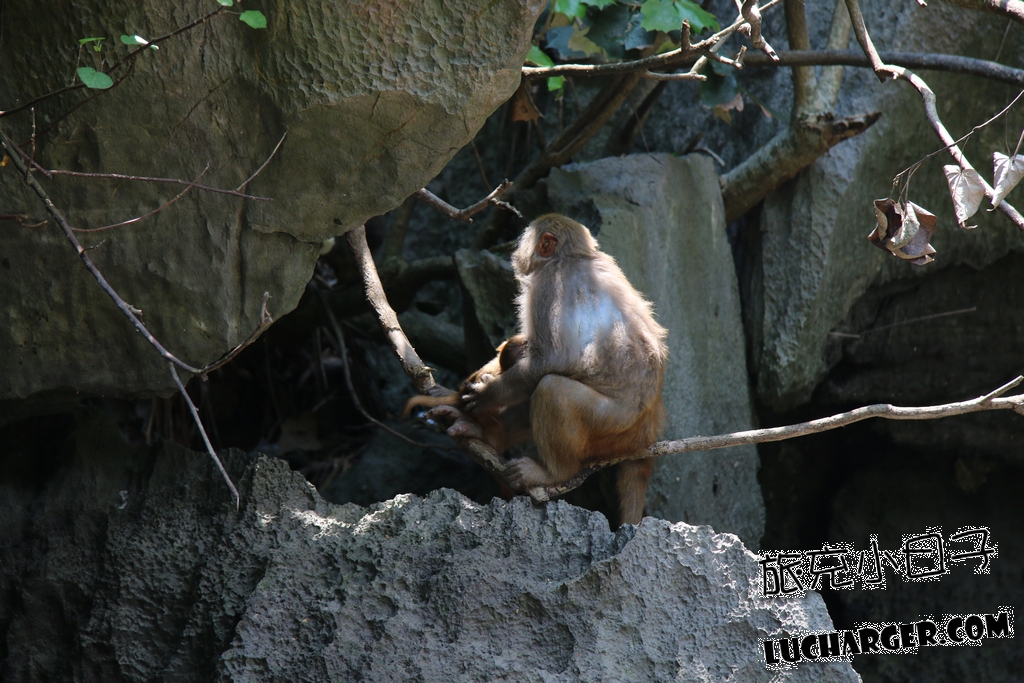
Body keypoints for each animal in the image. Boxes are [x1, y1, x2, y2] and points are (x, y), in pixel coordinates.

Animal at [462, 213, 668, 527]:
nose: (515, 250)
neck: (574, 256)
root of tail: (647, 429)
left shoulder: (548, 283)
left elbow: (551, 358)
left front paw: (487, 394)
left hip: (611, 425)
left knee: (551, 388)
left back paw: (554, 472)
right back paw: (492, 436)